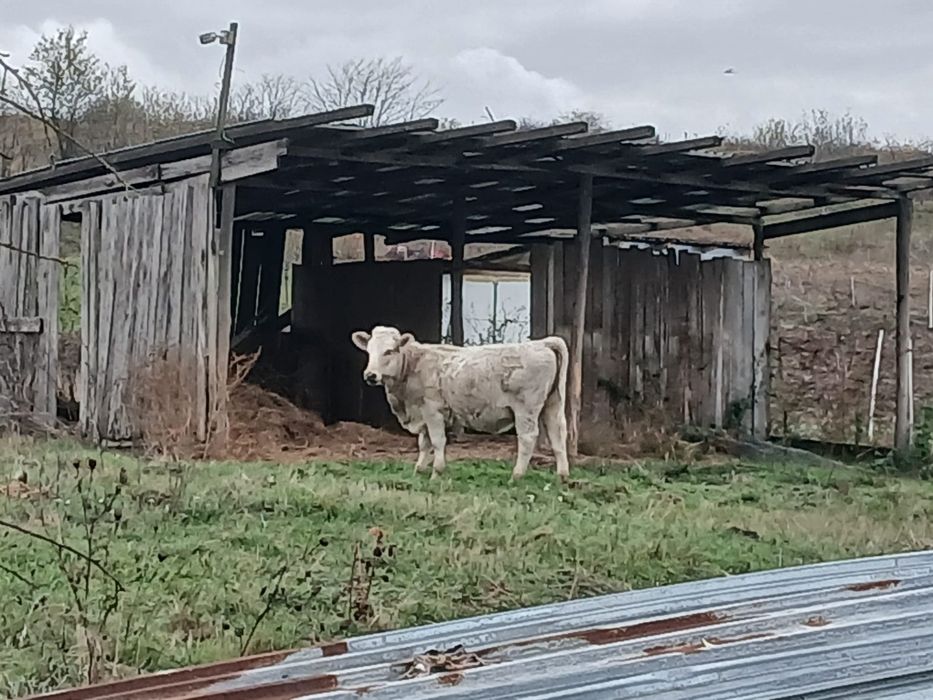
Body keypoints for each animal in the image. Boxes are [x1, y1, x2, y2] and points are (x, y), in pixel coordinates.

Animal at [351, 325, 570, 481]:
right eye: (369, 351)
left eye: (389, 351)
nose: (370, 375)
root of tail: (542, 343)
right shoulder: (422, 413)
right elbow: (424, 443)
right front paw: (419, 470)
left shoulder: (433, 411)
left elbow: (437, 441)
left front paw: (436, 473)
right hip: (553, 405)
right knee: (558, 436)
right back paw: (562, 476)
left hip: (526, 409)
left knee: (527, 438)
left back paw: (516, 475)